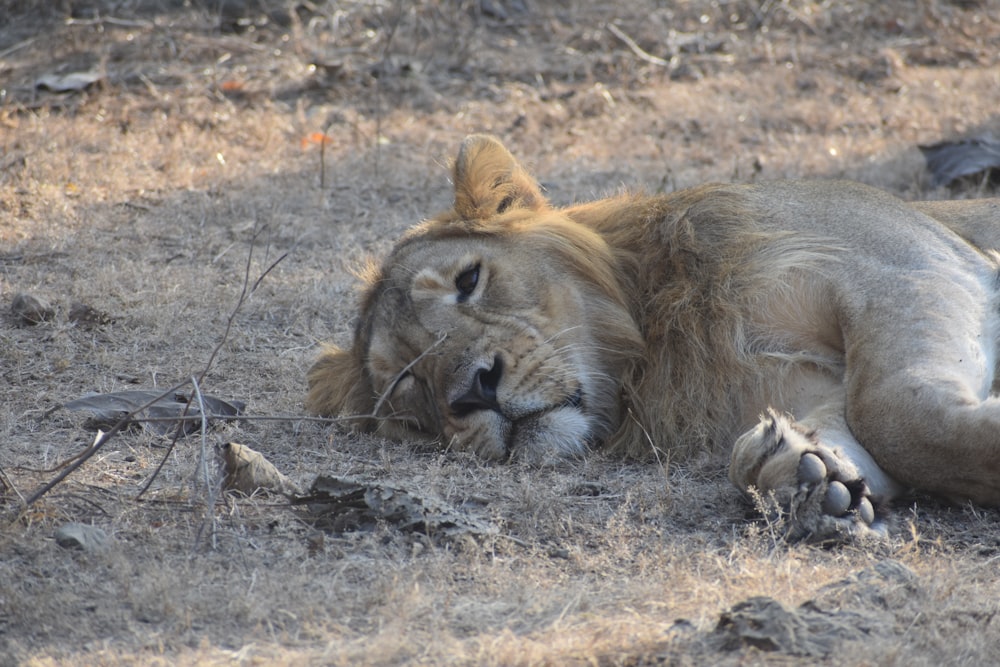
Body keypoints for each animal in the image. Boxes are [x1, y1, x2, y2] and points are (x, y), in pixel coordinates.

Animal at [306, 134, 1000, 544]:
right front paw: (801, 478)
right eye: (407, 384)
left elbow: (896, 414)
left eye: (469, 280)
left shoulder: (908, 269)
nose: (475, 391)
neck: (662, 335)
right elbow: (853, 432)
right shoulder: (804, 382)